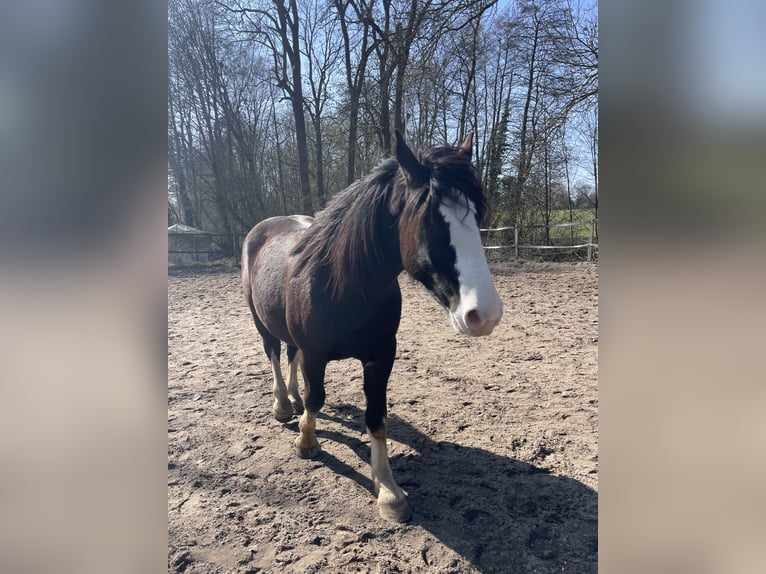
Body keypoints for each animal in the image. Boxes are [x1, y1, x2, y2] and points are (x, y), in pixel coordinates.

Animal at [241, 130, 503, 522]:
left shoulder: (381, 357)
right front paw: (307, 441)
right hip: (262, 322)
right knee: (274, 354)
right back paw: (283, 405)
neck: (343, 285)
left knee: (289, 356)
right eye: (431, 220)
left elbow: (376, 416)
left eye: (477, 216)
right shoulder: (316, 355)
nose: (484, 314)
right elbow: (316, 397)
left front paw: (389, 491)